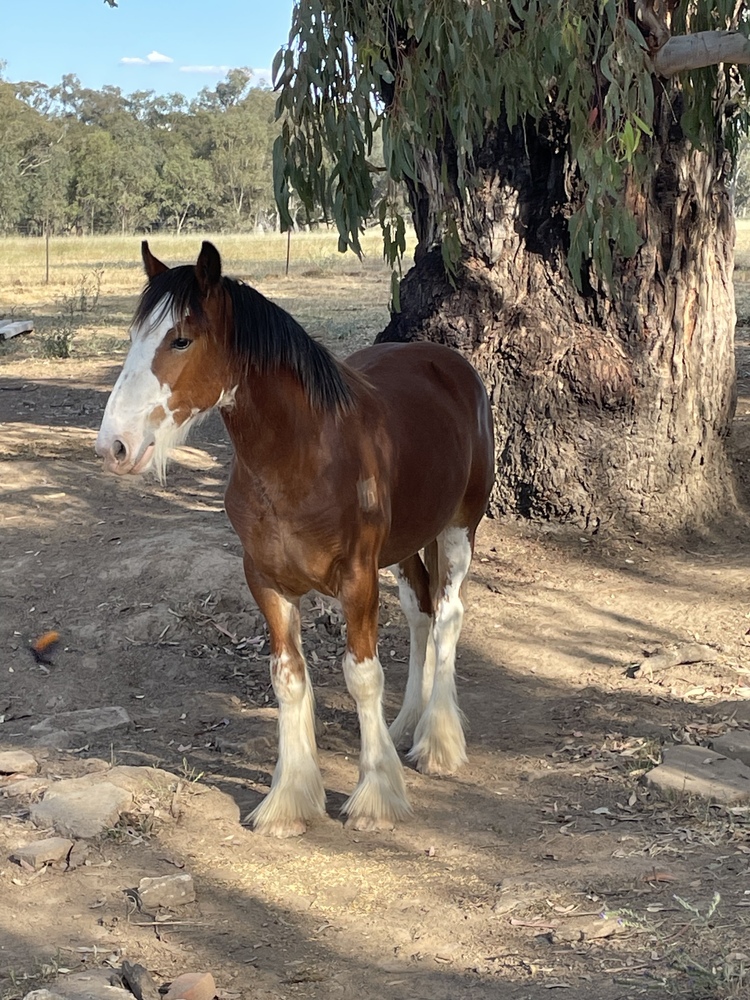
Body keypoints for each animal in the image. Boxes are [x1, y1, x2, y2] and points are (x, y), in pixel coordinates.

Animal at [95, 241, 495, 838]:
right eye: (134, 337)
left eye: (180, 339)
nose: (114, 446)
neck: (305, 454)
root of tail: (452, 366)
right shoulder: (266, 581)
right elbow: (288, 679)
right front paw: (289, 802)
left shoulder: (357, 579)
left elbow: (362, 675)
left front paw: (376, 796)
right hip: (405, 547)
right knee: (421, 611)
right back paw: (406, 726)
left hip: (457, 529)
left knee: (448, 614)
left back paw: (437, 743)